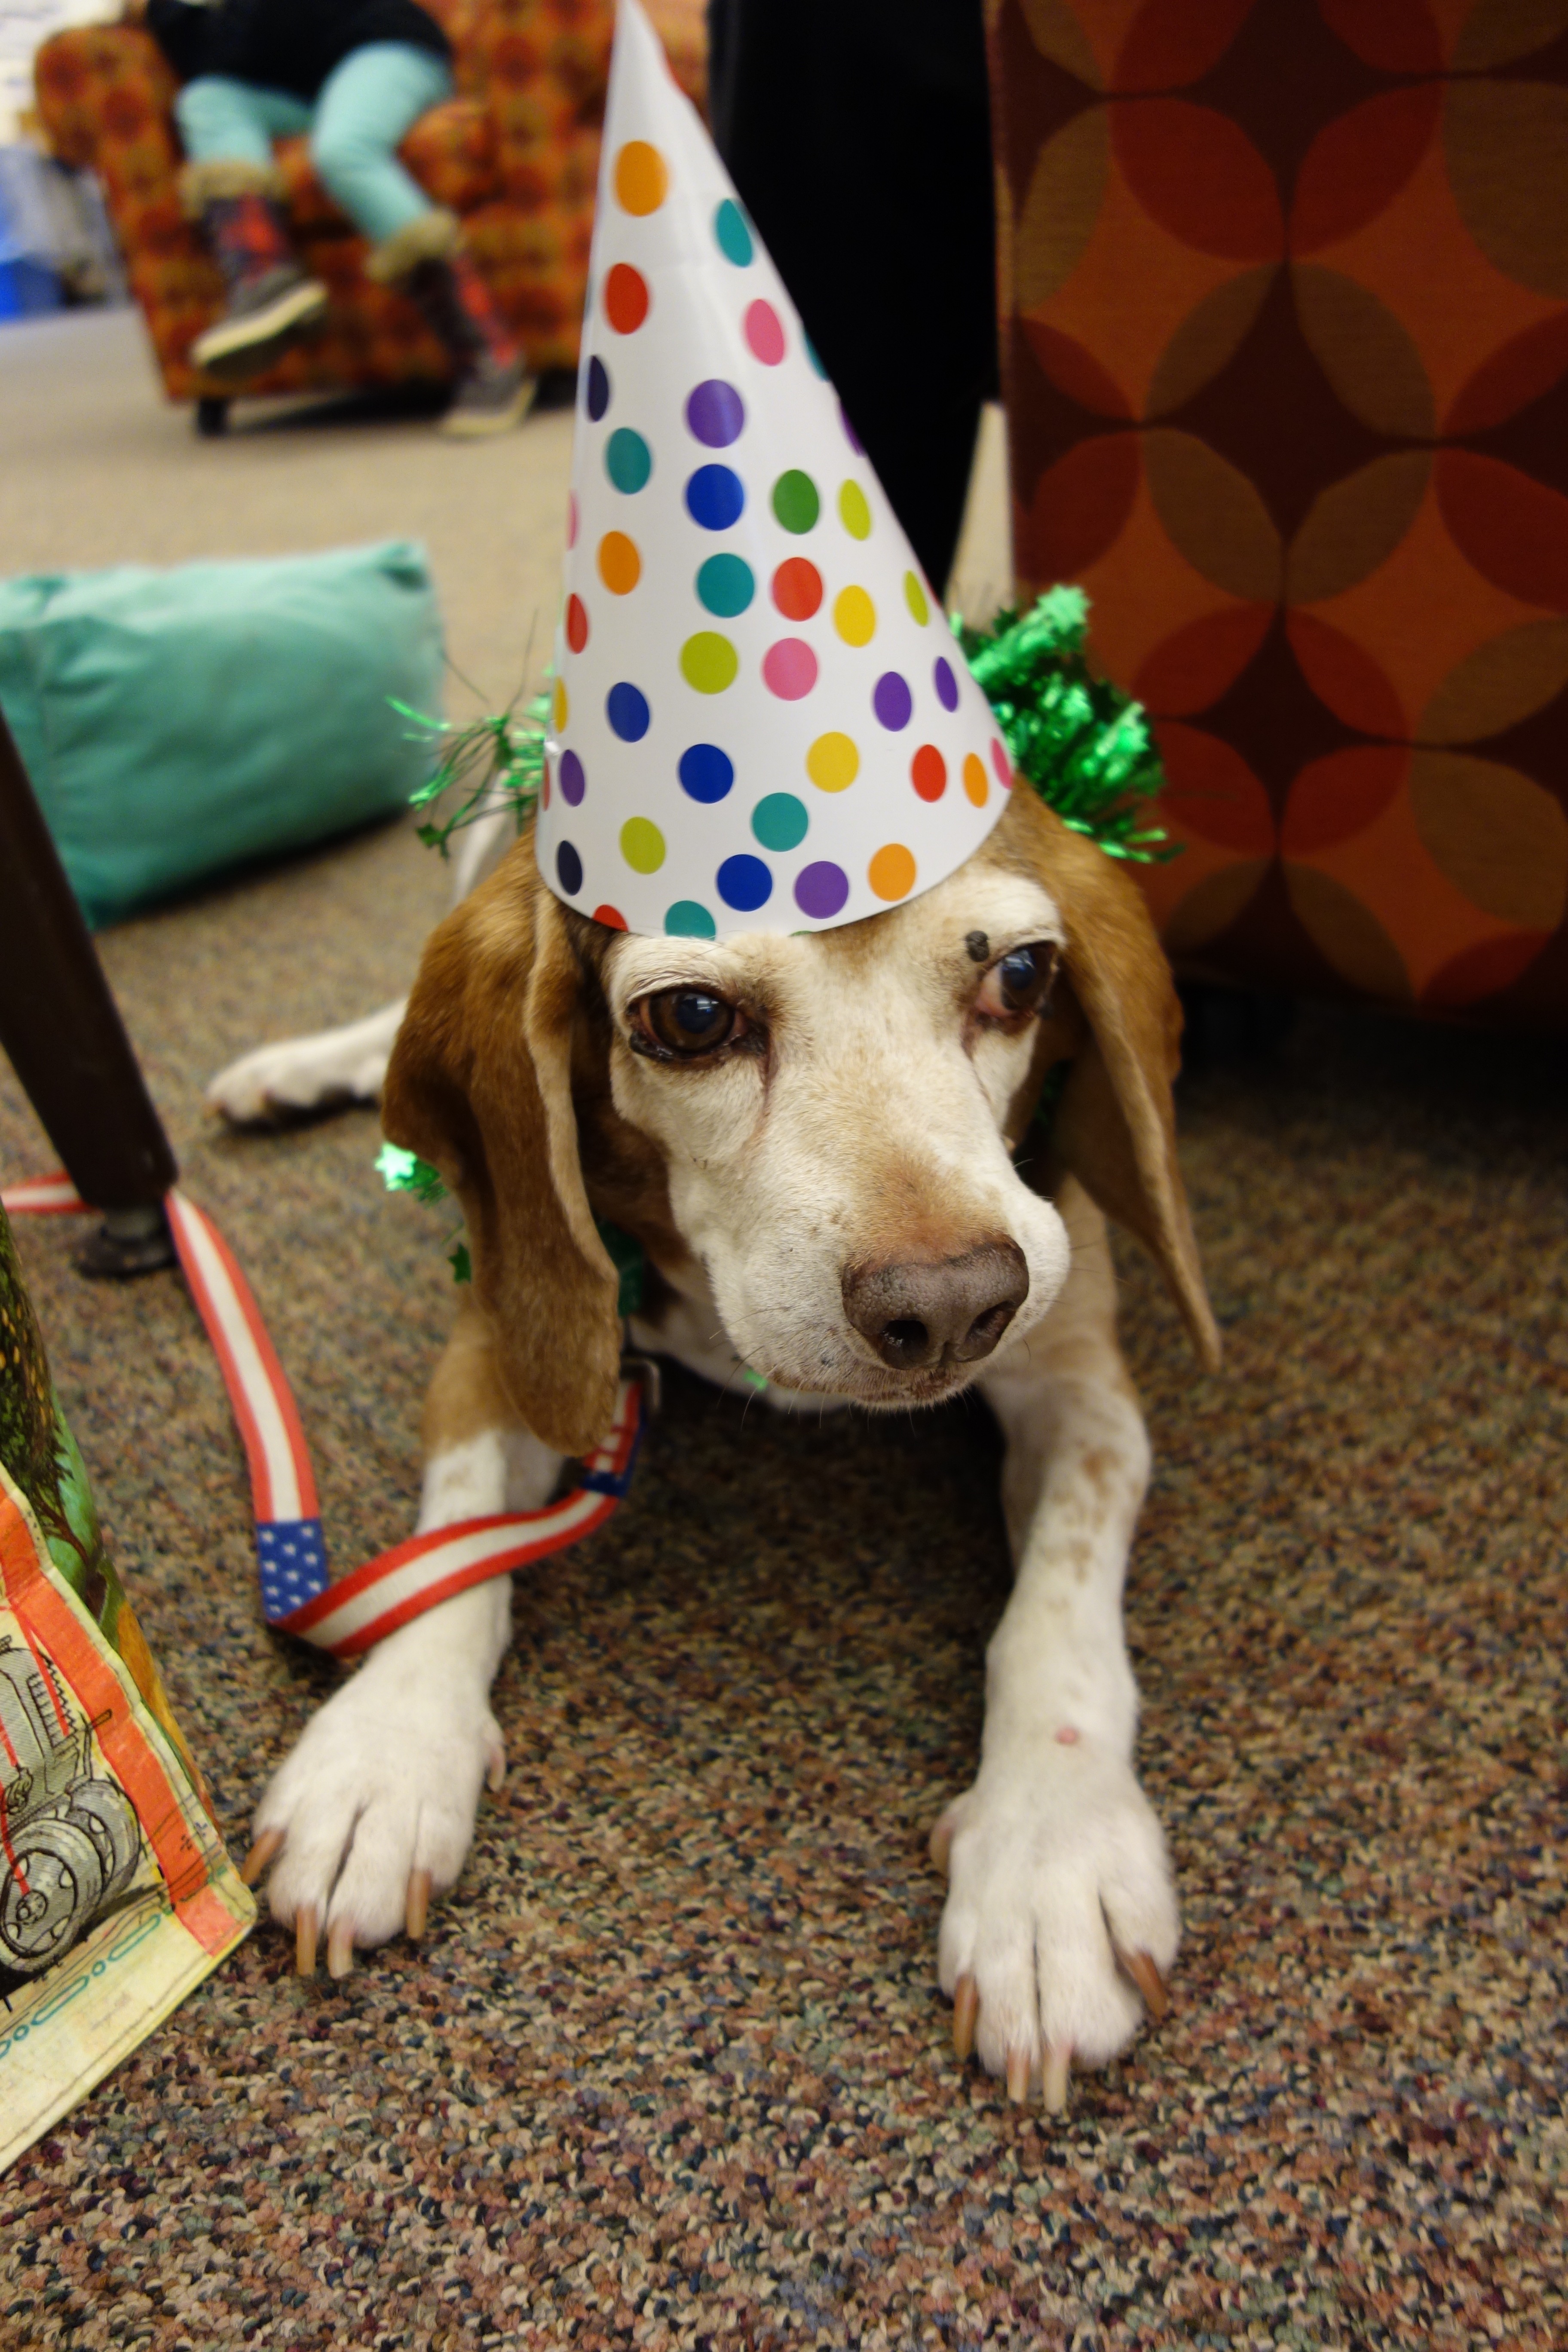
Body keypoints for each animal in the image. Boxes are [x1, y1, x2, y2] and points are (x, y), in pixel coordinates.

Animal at [236, 785, 1213, 2116]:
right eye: (691, 1018)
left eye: (1021, 975)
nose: (954, 1308)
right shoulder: (508, 1322)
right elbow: (457, 1534)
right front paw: (382, 1754)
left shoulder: (1083, 1385)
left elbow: (1051, 1627)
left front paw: (1050, 1855)